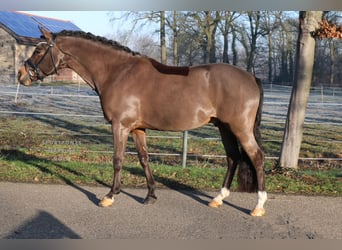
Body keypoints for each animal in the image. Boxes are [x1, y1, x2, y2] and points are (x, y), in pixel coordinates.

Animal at [17, 26, 268, 216]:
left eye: (38, 50)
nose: (21, 74)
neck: (117, 72)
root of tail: (252, 77)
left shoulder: (120, 126)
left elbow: (118, 160)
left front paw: (110, 196)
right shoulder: (138, 129)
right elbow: (144, 159)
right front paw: (150, 195)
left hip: (240, 128)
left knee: (256, 157)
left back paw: (258, 206)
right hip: (224, 127)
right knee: (233, 158)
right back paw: (218, 198)